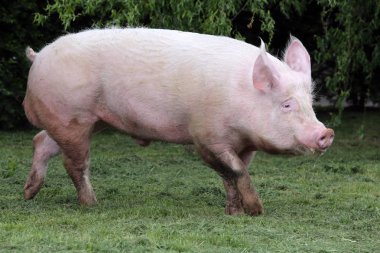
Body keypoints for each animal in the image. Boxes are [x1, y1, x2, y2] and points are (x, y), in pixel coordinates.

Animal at [22, 29, 334, 215]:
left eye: (310, 102)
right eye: (286, 104)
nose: (326, 133)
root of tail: (38, 56)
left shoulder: (245, 145)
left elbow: (233, 175)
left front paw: (234, 212)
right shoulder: (205, 136)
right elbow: (234, 171)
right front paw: (256, 210)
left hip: (85, 121)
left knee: (42, 141)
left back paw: (28, 194)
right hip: (72, 118)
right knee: (74, 162)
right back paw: (92, 205)